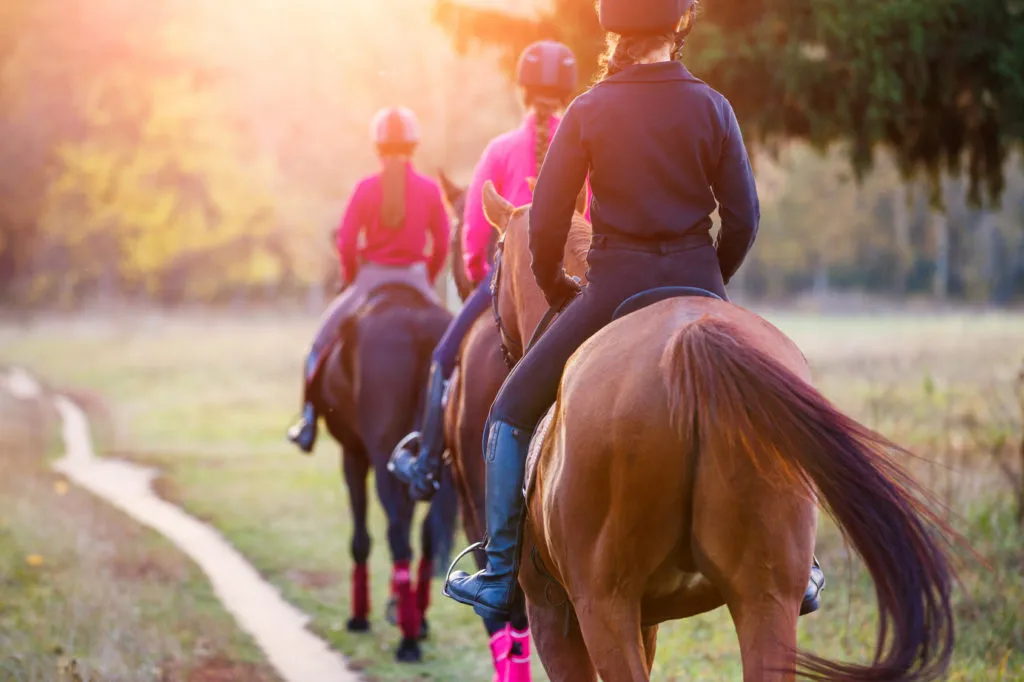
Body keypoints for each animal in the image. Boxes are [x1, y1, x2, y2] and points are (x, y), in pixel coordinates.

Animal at [317, 280, 458, 659]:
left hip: (381, 460)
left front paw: (361, 617)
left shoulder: (353, 454)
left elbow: (362, 538)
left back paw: (407, 641)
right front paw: (405, 610)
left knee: (399, 538)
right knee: (425, 534)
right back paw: (416, 621)